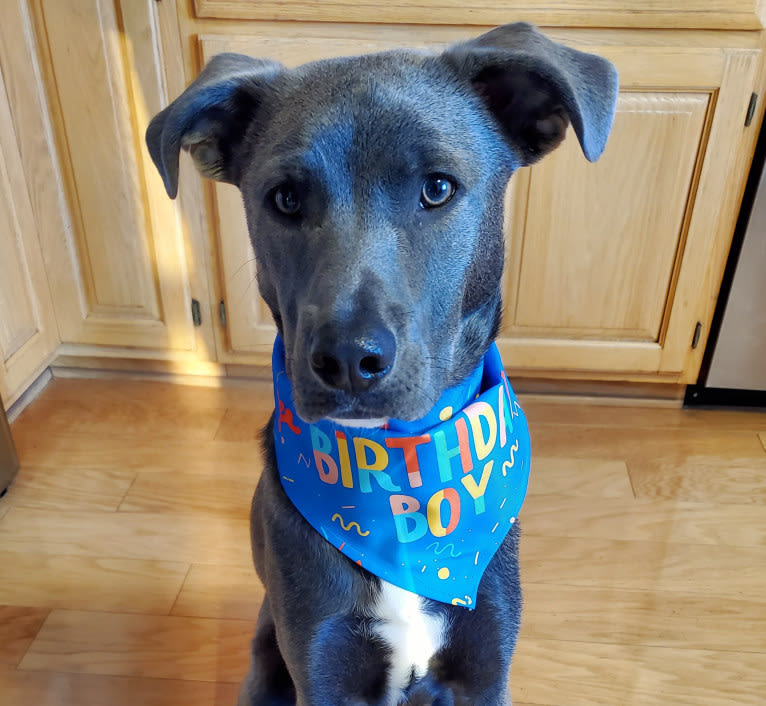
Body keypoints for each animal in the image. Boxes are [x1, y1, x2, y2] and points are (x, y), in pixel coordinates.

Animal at [147, 22, 620, 704]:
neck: (397, 482)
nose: (348, 359)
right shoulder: (321, 665)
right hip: (266, 656)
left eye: (438, 188)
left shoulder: (486, 668)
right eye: (284, 198)